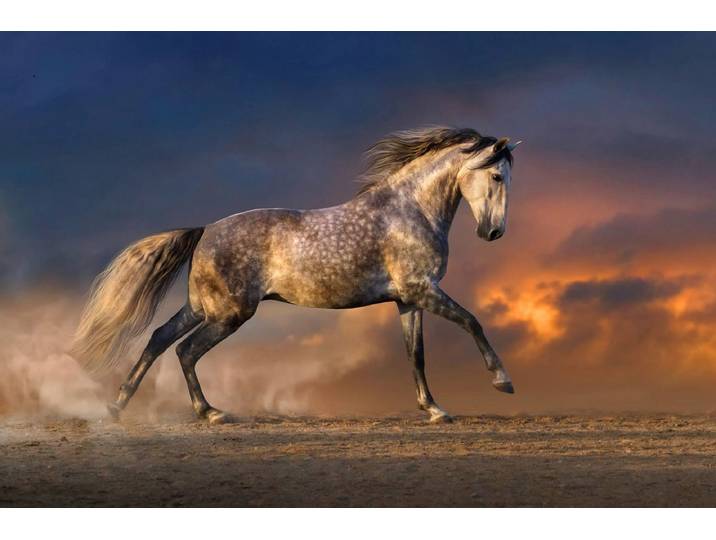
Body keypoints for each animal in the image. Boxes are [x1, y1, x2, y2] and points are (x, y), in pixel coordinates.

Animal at [71, 126, 521, 423]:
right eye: (497, 176)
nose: (494, 232)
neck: (410, 211)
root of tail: (205, 230)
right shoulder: (423, 290)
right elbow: (472, 321)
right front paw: (502, 382)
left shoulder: (408, 299)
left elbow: (416, 354)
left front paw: (434, 409)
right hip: (228, 314)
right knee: (185, 350)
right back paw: (211, 413)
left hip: (202, 308)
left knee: (160, 338)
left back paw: (118, 406)